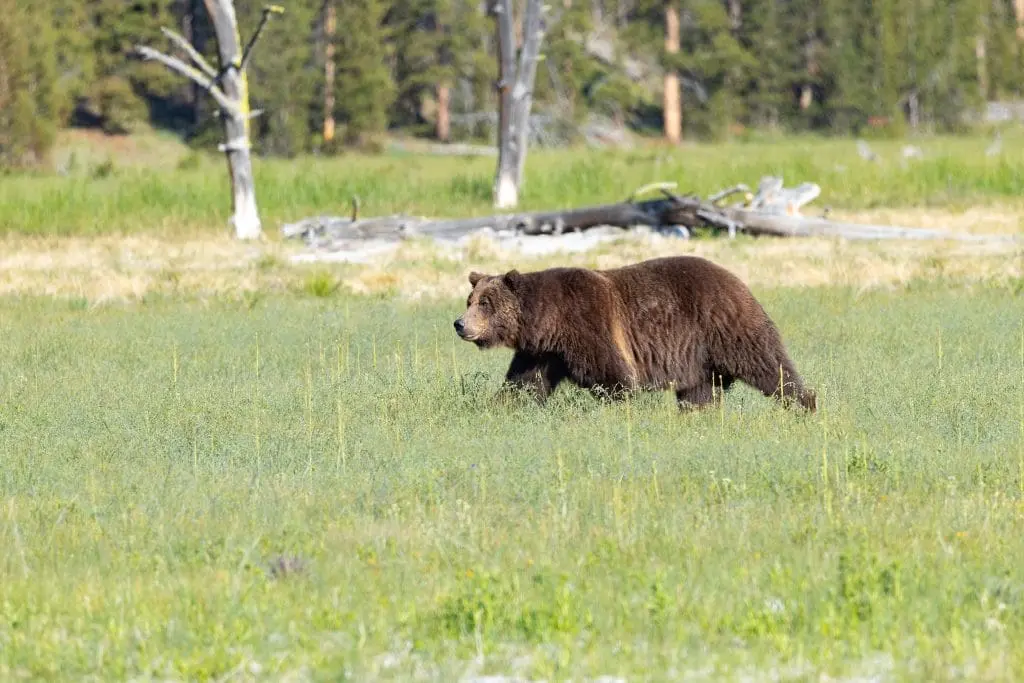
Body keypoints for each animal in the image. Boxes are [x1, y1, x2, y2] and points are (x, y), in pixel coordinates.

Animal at [453, 255, 817, 412]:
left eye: (485, 303)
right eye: (470, 300)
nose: (460, 324)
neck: (549, 323)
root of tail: (737, 279)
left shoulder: (589, 324)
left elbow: (615, 377)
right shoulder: (542, 352)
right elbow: (523, 385)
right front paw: (496, 409)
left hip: (724, 325)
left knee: (768, 364)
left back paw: (803, 403)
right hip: (698, 357)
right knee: (700, 391)